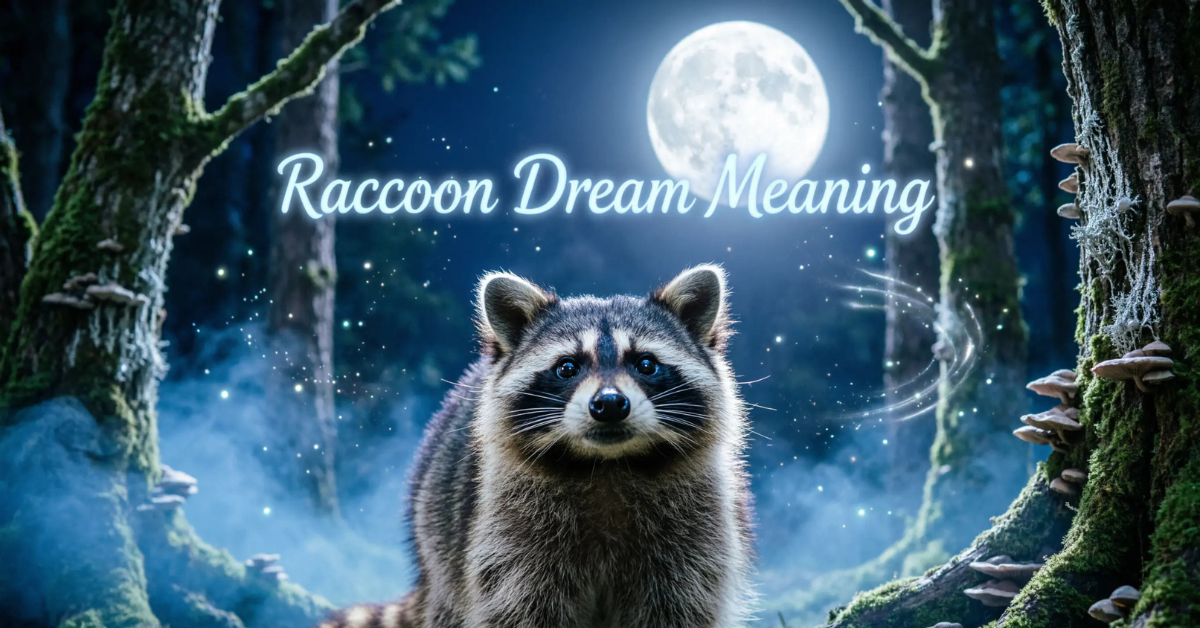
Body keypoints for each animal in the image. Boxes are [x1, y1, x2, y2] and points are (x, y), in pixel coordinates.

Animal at [323, 265, 754, 628]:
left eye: (645, 364)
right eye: (567, 367)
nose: (609, 404)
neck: (608, 465)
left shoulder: (695, 538)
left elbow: (679, 607)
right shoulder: (509, 535)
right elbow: (519, 608)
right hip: (440, 543)